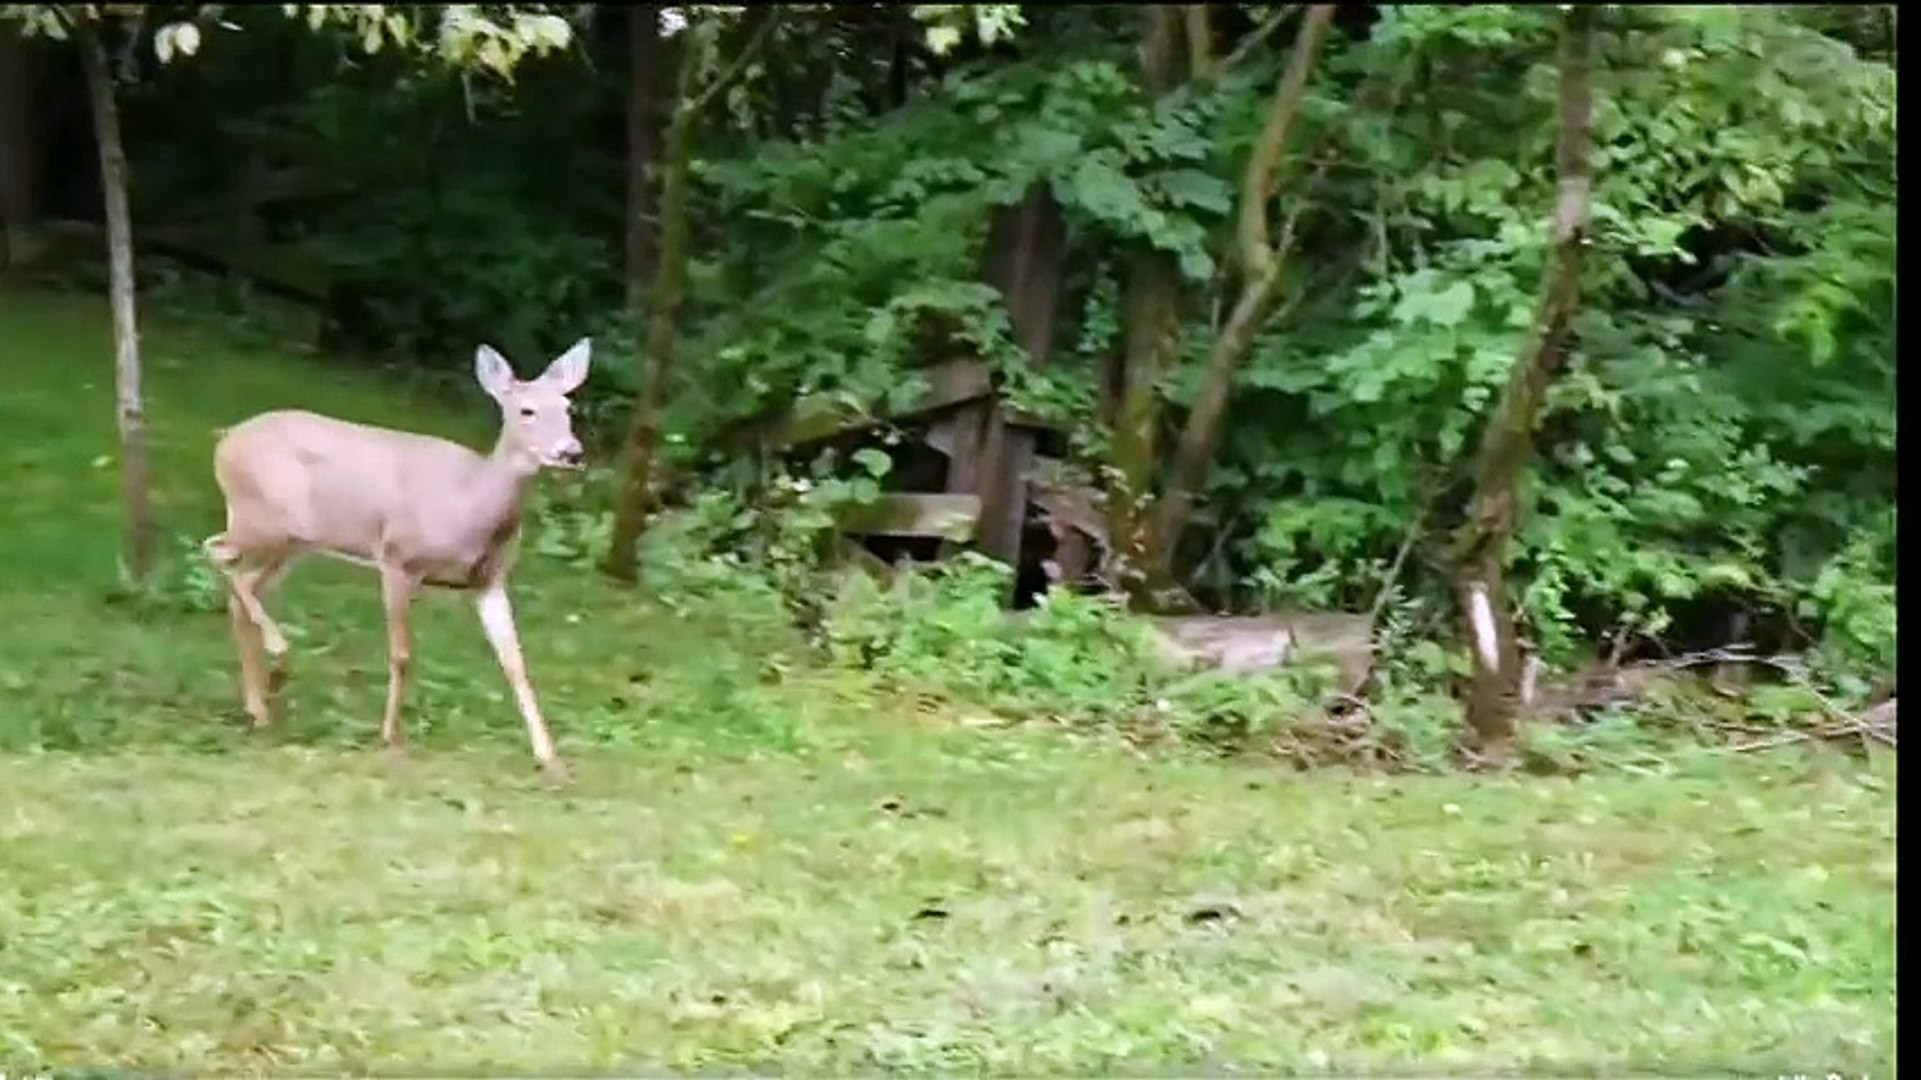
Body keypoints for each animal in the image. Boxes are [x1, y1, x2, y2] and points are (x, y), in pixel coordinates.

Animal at [203, 338, 592, 785]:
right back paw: (278, 656)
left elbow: (515, 662)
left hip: (292, 542)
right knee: (216, 550)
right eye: (526, 410)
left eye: (568, 408)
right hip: (262, 518)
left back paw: (261, 704)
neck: (473, 505)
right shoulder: (397, 558)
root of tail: (225, 439)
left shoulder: (490, 579)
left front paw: (550, 759)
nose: (571, 452)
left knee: (242, 585)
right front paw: (390, 737)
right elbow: (402, 654)